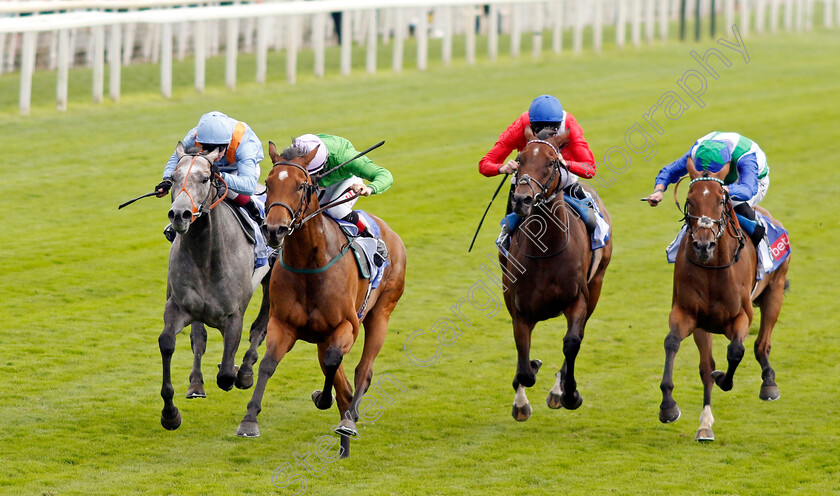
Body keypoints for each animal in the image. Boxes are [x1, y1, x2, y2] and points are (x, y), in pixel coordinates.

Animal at [159, 141, 270, 428]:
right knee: (199, 339)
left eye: (205, 178)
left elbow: (227, 374)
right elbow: (168, 342)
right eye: (172, 178)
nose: (180, 214)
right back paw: (196, 384)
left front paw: (236, 373)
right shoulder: (179, 306)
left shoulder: (233, 316)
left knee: (260, 327)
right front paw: (170, 413)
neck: (206, 254)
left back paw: (246, 371)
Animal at [236, 140, 406, 458]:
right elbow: (268, 364)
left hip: (381, 313)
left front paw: (326, 401)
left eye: (302, 185)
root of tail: (390, 232)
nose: (274, 229)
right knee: (342, 379)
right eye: (267, 183)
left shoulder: (347, 325)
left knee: (363, 371)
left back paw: (348, 421)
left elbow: (333, 360)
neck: (309, 264)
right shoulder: (284, 324)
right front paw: (249, 420)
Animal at [502, 130, 612, 420]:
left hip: (596, 285)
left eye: (552, 162)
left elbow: (572, 343)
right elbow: (525, 369)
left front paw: (570, 394)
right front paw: (521, 399)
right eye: (519, 159)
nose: (522, 199)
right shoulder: (520, 310)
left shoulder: (577, 300)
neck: (546, 250)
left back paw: (558, 390)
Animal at [660, 159, 792, 442]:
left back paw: (769, 383)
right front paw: (668, 406)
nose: (703, 245)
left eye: (721, 201)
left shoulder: (741, 317)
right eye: (690, 200)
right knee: (705, 367)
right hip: (705, 326)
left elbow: (736, 351)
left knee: (762, 344)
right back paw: (705, 425)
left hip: (774, 292)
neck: (713, 268)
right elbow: (673, 343)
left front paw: (724, 378)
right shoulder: (688, 315)